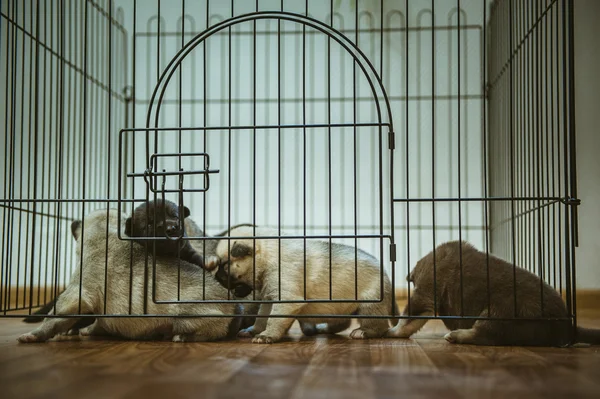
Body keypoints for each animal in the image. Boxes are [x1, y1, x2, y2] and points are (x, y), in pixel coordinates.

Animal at [211, 227, 398, 346]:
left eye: (225, 265)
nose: (216, 277)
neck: (268, 257)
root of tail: (386, 275)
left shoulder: (285, 300)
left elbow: (273, 320)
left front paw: (267, 335)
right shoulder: (270, 300)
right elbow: (262, 318)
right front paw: (255, 330)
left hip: (369, 304)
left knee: (379, 326)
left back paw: (363, 332)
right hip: (340, 307)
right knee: (342, 323)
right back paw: (324, 329)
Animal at [390, 241, 600, 346]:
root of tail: (567, 325)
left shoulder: (423, 295)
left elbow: (406, 321)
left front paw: (392, 332)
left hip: (497, 312)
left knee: (486, 335)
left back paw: (457, 335)